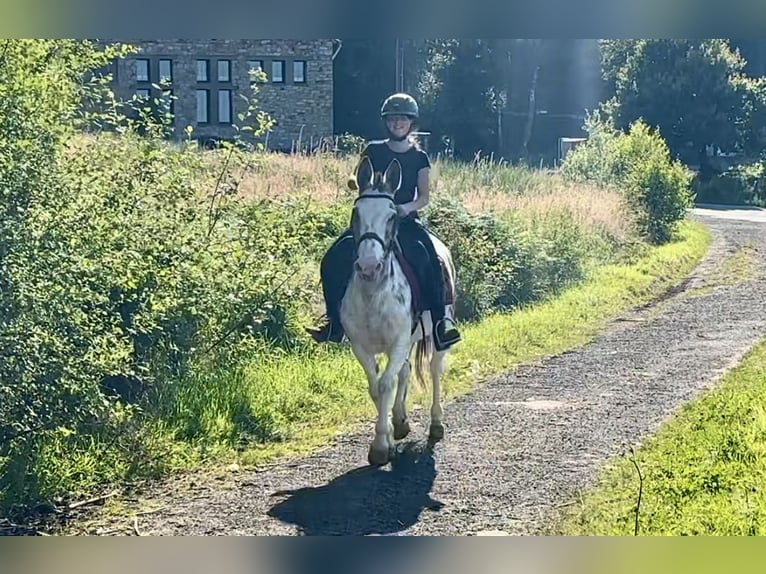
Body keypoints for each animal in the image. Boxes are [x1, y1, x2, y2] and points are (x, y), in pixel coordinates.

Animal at [340, 156, 460, 468]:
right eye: (356, 213)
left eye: (392, 216)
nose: (369, 266)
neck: (373, 294)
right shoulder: (361, 346)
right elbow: (376, 386)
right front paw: (392, 431)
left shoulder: (398, 341)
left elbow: (385, 385)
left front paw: (381, 446)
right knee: (404, 372)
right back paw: (400, 419)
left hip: (436, 333)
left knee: (434, 369)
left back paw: (436, 423)